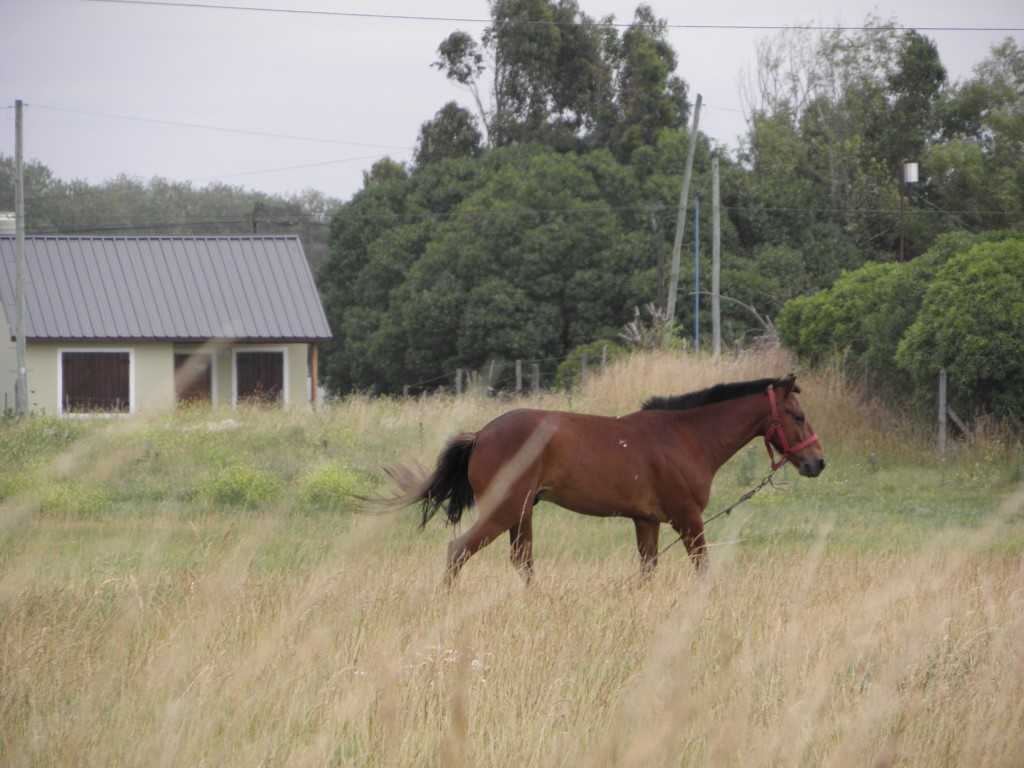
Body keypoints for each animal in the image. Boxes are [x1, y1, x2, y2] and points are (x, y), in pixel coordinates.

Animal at [385, 376, 823, 585]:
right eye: (799, 416)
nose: (817, 462)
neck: (683, 437)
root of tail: (480, 435)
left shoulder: (646, 522)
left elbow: (646, 572)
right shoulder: (688, 520)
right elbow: (703, 569)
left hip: (522, 513)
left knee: (522, 561)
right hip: (504, 511)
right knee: (458, 551)